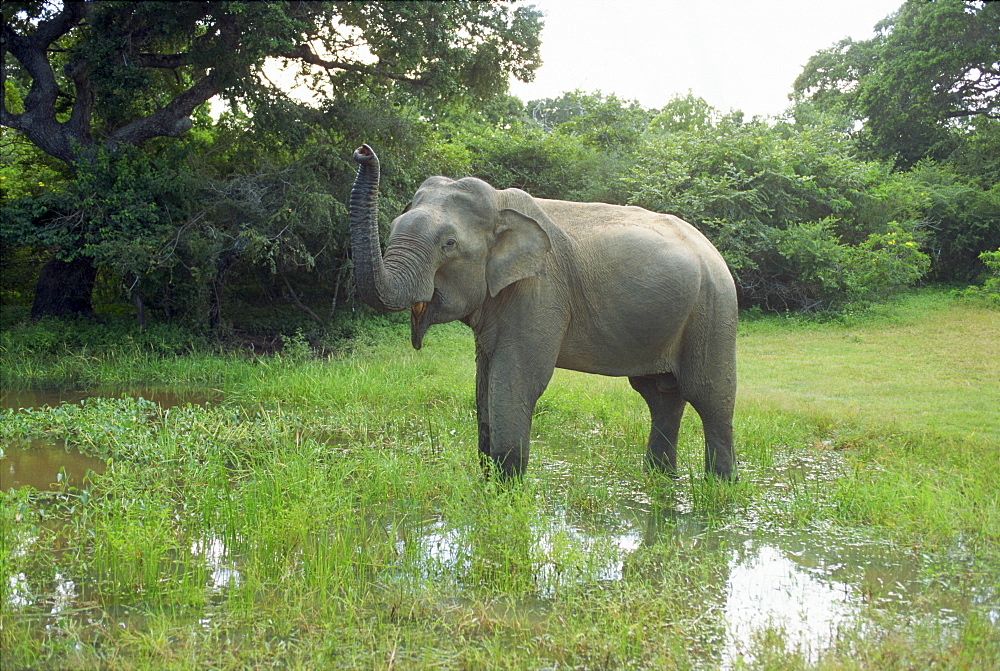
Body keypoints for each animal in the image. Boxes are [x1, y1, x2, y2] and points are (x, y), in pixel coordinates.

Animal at [348, 144, 740, 480]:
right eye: (393, 227)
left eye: (449, 244)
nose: (363, 151)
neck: (500, 202)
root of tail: (711, 249)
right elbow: (485, 379)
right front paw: (490, 485)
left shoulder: (541, 290)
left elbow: (518, 378)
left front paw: (506, 492)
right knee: (660, 396)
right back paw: (660, 481)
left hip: (714, 308)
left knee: (709, 396)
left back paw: (718, 487)